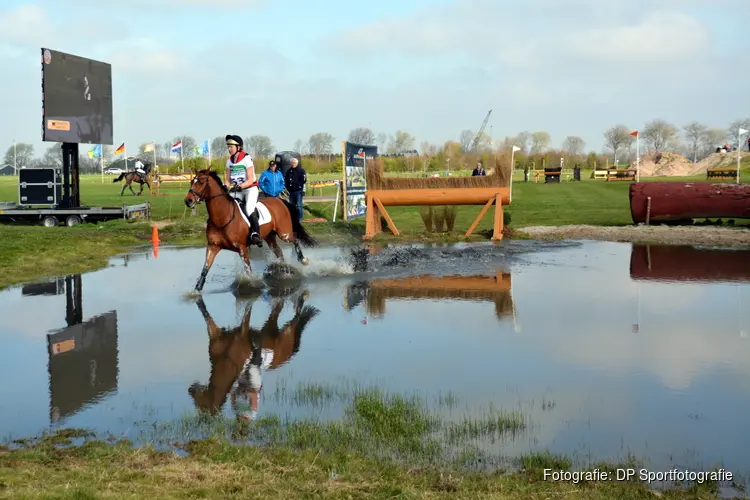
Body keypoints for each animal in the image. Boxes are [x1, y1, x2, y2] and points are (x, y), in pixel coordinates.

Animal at [187, 169, 318, 292]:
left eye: (201, 182)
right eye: (192, 181)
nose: (188, 201)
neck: (222, 217)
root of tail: (279, 200)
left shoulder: (242, 248)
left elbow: (248, 270)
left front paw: (251, 285)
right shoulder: (213, 246)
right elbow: (205, 269)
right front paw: (196, 290)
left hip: (284, 234)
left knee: (295, 240)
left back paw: (303, 260)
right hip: (269, 237)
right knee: (279, 251)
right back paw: (283, 269)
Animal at [189, 292, 318, 414]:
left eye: (199, 404)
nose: (191, 390)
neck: (226, 359)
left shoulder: (243, 330)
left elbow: (247, 310)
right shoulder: (216, 334)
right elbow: (206, 313)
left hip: (287, 333)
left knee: (294, 319)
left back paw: (301, 300)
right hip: (270, 327)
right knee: (279, 307)